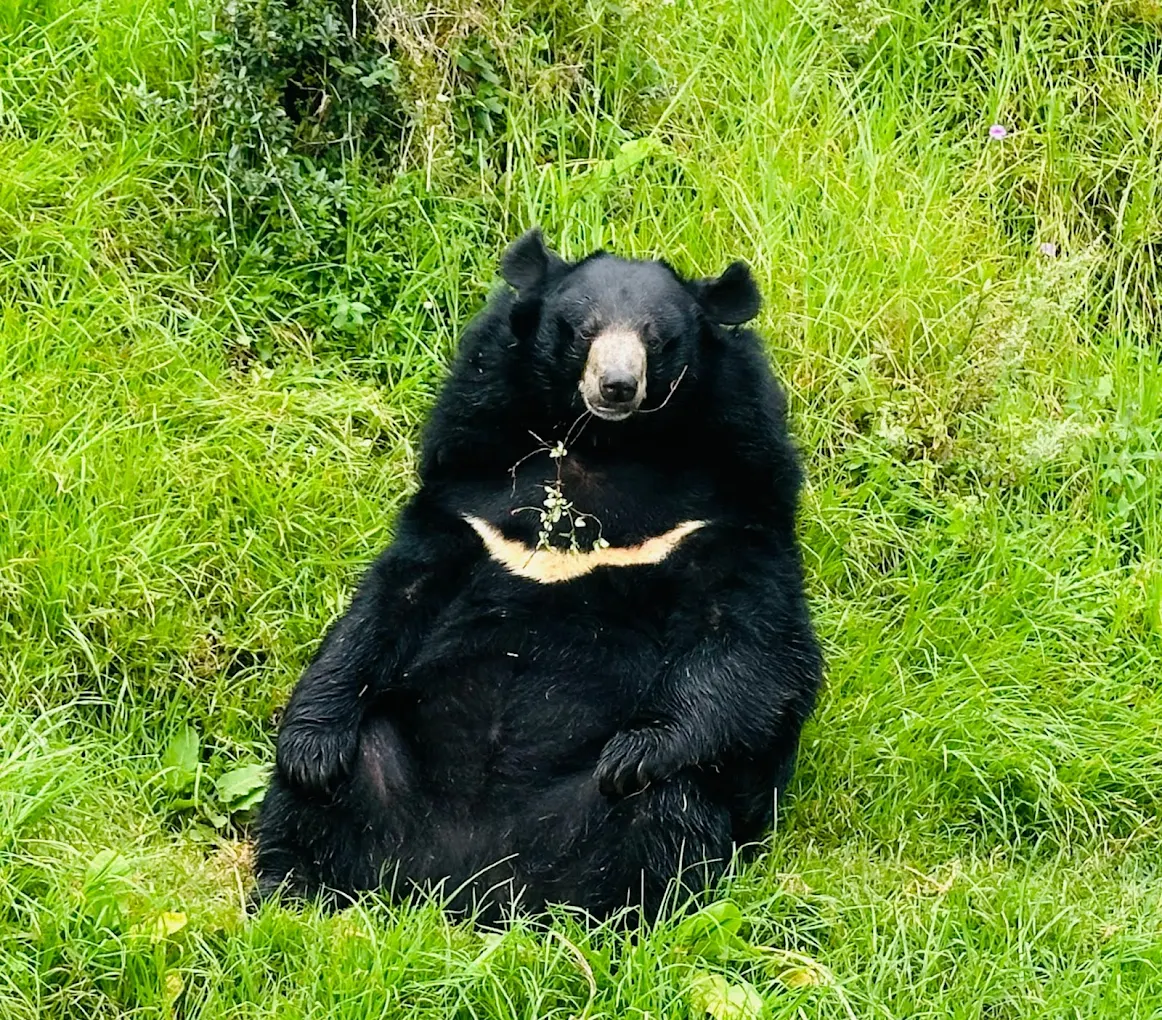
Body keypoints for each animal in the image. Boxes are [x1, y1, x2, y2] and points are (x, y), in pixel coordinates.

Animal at [254, 229, 823, 924]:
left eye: (658, 339)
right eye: (580, 330)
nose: (616, 386)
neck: (602, 450)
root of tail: (462, 890)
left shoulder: (731, 507)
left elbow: (750, 646)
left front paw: (639, 749)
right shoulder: (466, 493)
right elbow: (389, 603)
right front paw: (308, 745)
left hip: (610, 820)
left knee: (664, 814)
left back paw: (617, 915)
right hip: (386, 775)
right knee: (325, 792)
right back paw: (292, 891)